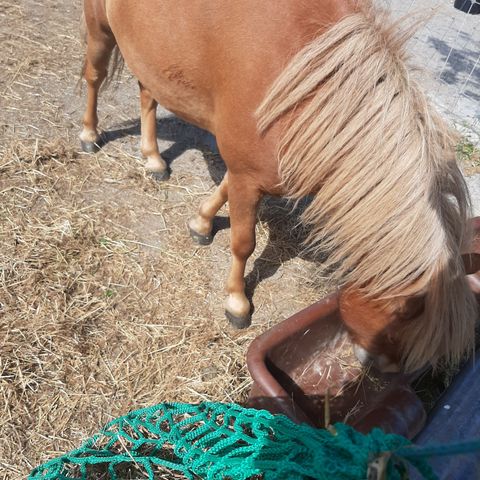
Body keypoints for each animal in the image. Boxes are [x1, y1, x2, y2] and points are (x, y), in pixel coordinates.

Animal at [79, 0, 476, 374]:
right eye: (400, 317)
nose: (381, 368)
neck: (304, 75)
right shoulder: (247, 173)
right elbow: (243, 243)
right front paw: (237, 303)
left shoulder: (253, 168)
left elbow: (223, 191)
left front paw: (201, 223)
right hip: (99, 27)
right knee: (95, 76)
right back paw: (89, 134)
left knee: (147, 92)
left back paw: (153, 159)